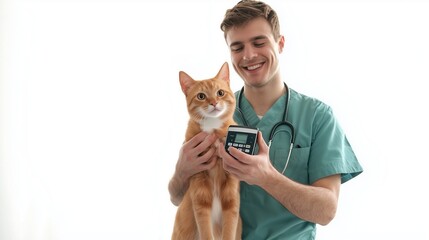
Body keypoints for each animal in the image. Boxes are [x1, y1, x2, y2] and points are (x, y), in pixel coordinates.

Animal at [173, 62, 241, 240]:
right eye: (201, 96)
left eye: (220, 93)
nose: (214, 103)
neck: (212, 129)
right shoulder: (199, 189)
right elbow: (205, 228)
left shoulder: (231, 194)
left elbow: (229, 227)